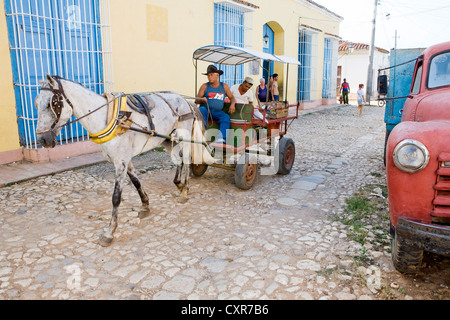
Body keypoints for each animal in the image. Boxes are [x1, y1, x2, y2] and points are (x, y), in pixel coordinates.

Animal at [35, 74, 211, 245]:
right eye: (36, 103)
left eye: (53, 103)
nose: (42, 140)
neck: (108, 118)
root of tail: (185, 100)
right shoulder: (125, 159)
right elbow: (136, 182)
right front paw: (145, 206)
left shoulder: (120, 162)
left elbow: (116, 197)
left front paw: (109, 232)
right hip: (166, 139)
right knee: (179, 159)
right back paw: (179, 184)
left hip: (184, 136)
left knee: (187, 159)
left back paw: (185, 191)